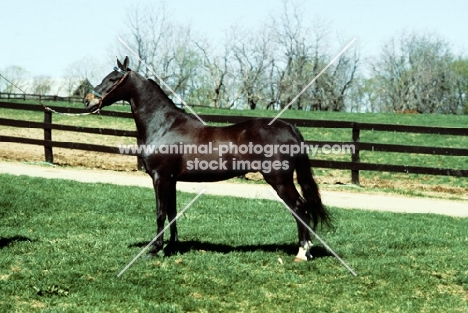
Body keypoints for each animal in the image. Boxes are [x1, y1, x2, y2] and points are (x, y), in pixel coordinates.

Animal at [85, 56, 332, 260]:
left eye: (113, 79)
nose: (87, 101)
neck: (164, 125)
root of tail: (290, 127)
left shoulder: (160, 177)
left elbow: (160, 213)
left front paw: (155, 249)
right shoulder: (171, 180)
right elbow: (172, 212)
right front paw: (172, 247)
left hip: (279, 180)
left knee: (299, 207)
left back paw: (302, 252)